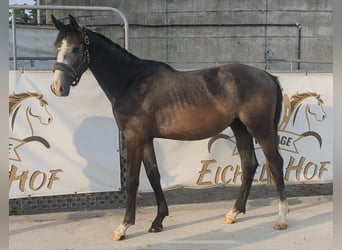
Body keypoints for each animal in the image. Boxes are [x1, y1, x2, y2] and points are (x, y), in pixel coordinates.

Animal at [48, 15, 288, 240]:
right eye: (56, 47)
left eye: (76, 48)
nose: (57, 87)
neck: (131, 81)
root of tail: (267, 76)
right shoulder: (145, 139)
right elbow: (154, 175)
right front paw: (158, 221)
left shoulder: (133, 138)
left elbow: (133, 181)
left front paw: (124, 226)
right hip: (240, 128)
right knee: (249, 165)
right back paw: (233, 213)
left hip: (261, 129)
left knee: (276, 163)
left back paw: (281, 219)